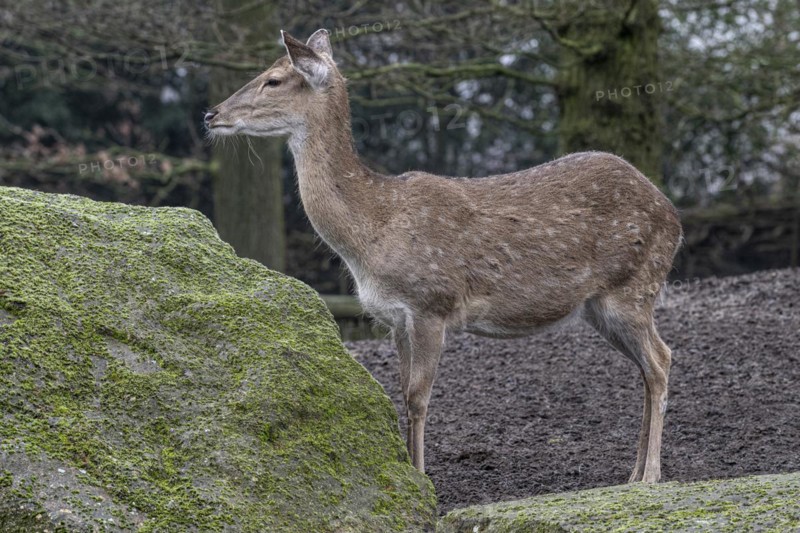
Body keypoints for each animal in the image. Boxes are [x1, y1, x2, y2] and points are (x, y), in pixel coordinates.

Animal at [204, 28, 683, 484]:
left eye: (273, 79)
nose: (211, 114)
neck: (372, 233)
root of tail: (673, 216)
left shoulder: (431, 303)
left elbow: (418, 397)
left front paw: (421, 480)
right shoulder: (393, 317)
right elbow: (400, 393)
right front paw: (407, 472)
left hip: (633, 289)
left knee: (661, 361)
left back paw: (651, 476)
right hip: (600, 306)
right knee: (647, 367)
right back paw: (631, 475)